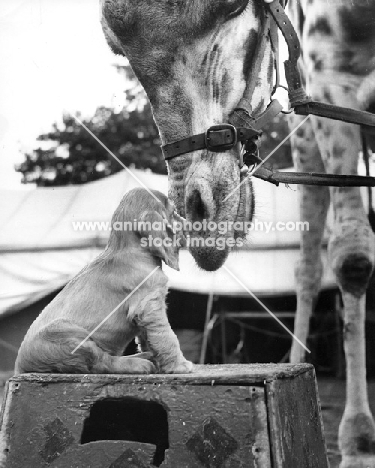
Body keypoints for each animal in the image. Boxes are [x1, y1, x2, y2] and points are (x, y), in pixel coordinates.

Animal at [14, 188, 194, 374]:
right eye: (173, 212)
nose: (191, 224)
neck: (129, 250)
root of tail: (20, 368)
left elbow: (148, 339)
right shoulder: (149, 305)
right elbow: (166, 336)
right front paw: (179, 365)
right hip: (67, 333)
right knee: (101, 362)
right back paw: (136, 363)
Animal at [100, 0, 375, 464]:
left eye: (229, 6)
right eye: (115, 47)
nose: (202, 227)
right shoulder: (333, 78)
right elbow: (352, 258)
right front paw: (359, 444)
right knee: (307, 267)